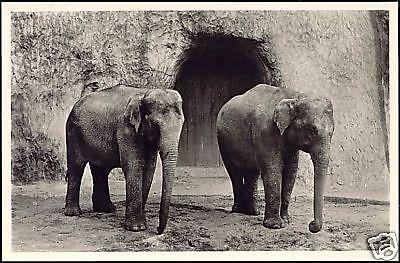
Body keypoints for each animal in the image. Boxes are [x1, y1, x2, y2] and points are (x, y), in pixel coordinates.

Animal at [64, 84, 184, 235]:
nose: (158, 229)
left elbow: (149, 169)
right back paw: (73, 213)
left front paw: (142, 224)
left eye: (182, 123)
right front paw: (136, 228)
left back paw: (106, 209)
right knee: (76, 166)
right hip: (73, 132)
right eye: (155, 125)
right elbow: (134, 166)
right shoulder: (125, 128)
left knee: (100, 170)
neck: (144, 93)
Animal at [216, 84, 334, 233]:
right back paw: (237, 210)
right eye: (312, 130)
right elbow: (273, 171)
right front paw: (275, 225)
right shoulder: (265, 131)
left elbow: (291, 172)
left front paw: (287, 220)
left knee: (252, 173)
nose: (311, 224)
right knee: (234, 172)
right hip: (222, 140)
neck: (294, 96)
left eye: (332, 132)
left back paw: (252, 212)